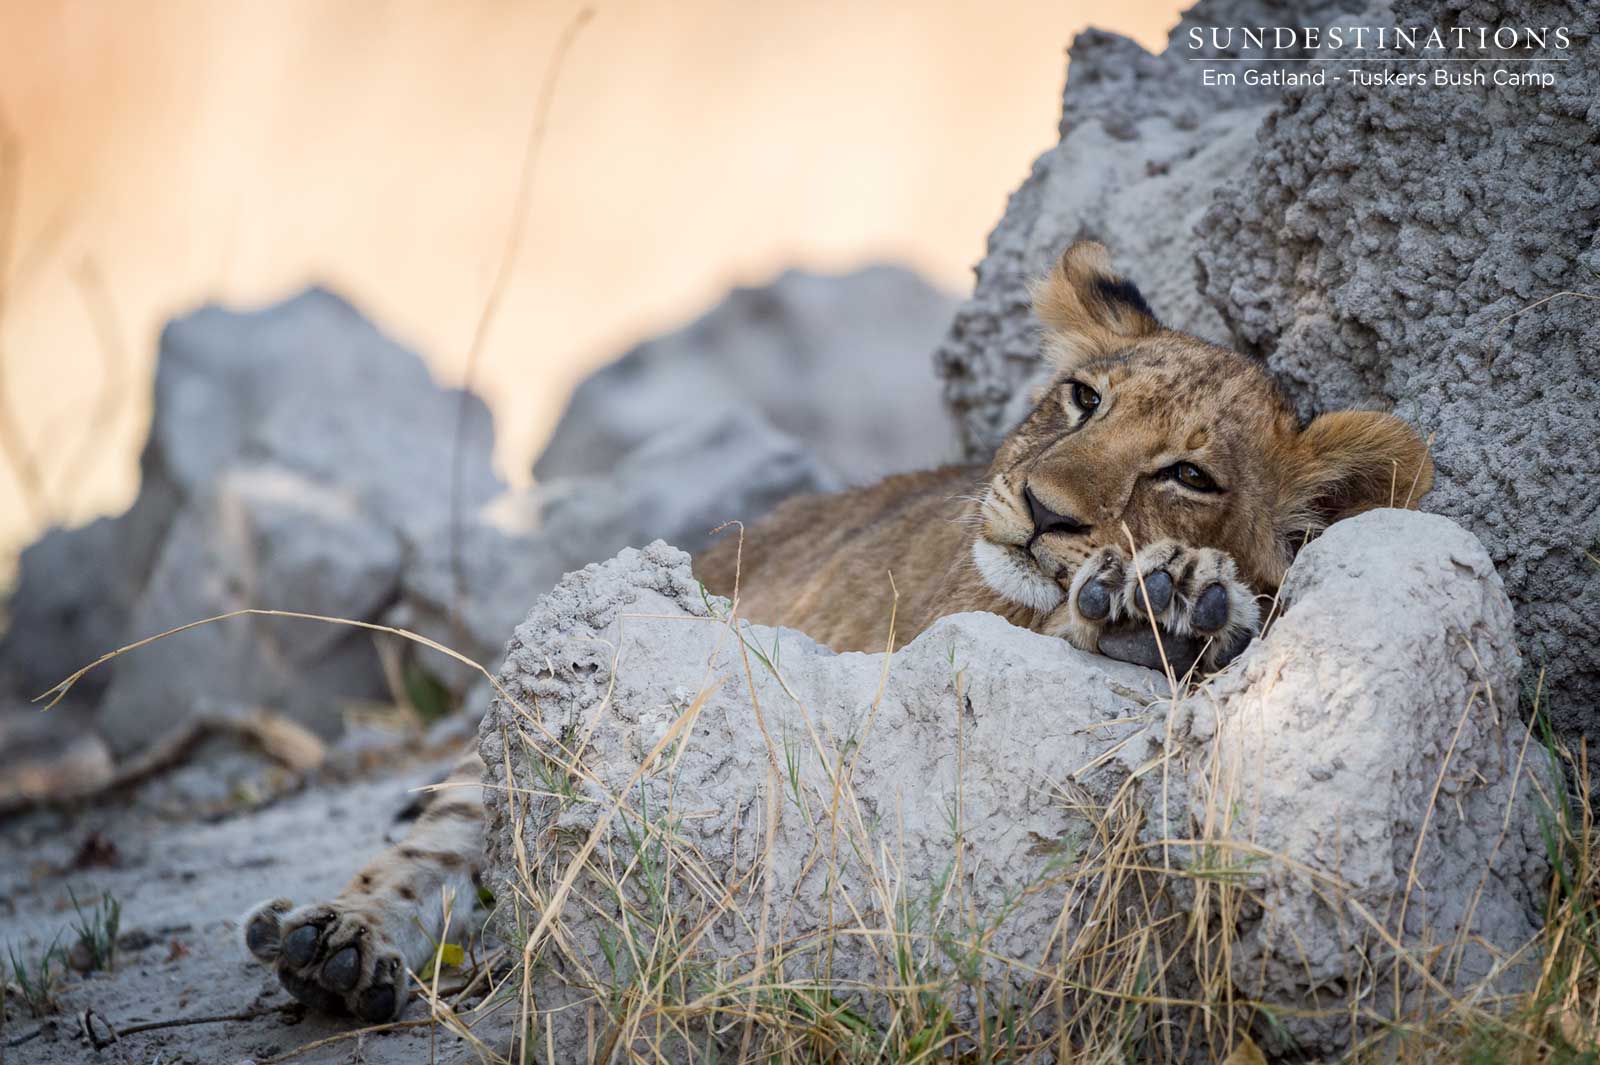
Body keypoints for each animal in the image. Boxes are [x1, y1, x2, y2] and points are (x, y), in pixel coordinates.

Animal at [239, 241, 1432, 1021]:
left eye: (1187, 474)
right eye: (1081, 399)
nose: (1041, 507)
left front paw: (1175, 602)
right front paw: (1160, 605)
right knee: (437, 846)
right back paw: (333, 945)